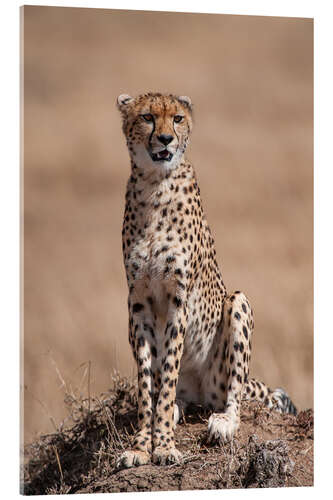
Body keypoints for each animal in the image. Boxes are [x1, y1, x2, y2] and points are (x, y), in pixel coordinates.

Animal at [115, 91, 294, 468]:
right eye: (148, 117)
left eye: (178, 118)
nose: (165, 139)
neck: (155, 184)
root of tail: (200, 389)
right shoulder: (137, 303)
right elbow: (148, 382)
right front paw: (141, 445)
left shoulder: (179, 298)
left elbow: (168, 370)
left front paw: (164, 446)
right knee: (176, 395)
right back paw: (174, 410)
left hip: (237, 307)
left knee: (234, 396)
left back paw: (222, 421)